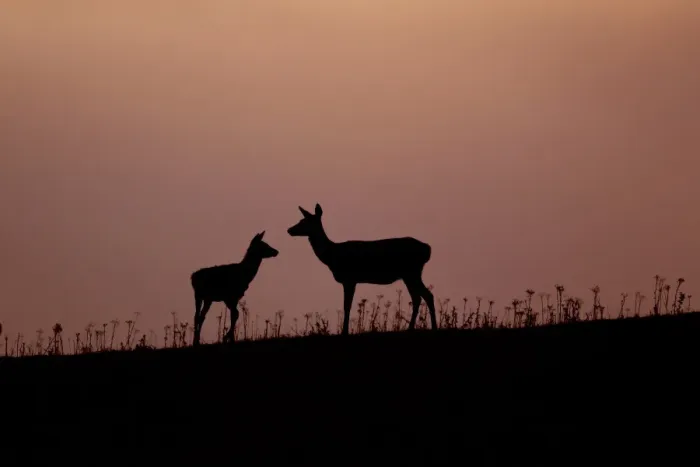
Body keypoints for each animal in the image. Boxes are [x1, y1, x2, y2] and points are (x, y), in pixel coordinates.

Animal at [287, 203, 437, 335]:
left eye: (305, 222)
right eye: (301, 220)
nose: (289, 230)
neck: (332, 255)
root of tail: (428, 249)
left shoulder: (349, 279)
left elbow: (347, 305)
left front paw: (344, 332)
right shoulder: (350, 280)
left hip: (412, 272)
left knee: (427, 295)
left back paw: (433, 327)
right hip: (409, 274)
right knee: (418, 297)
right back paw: (412, 328)